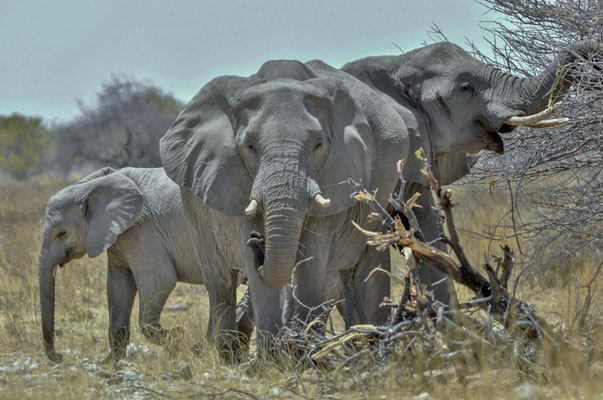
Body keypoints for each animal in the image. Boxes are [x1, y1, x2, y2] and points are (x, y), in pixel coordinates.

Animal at [39, 166, 252, 362]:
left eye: (61, 233)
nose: (59, 356)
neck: (94, 185)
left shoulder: (141, 231)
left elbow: (161, 281)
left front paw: (178, 336)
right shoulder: (119, 240)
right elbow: (118, 286)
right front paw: (111, 363)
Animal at [160, 57, 410, 348]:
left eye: (318, 145)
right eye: (249, 146)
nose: (258, 241)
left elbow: (312, 258)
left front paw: (304, 350)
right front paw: (274, 355)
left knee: (361, 274)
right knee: (220, 282)